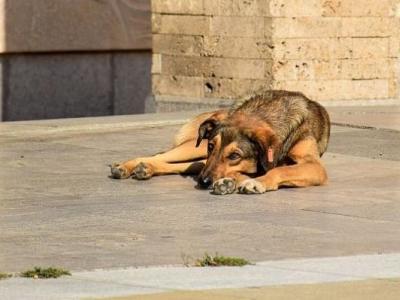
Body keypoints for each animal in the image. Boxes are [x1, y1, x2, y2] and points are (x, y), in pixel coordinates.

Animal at [111, 89, 330, 195]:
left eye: (234, 155)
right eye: (211, 146)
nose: (203, 182)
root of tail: (219, 111)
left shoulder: (314, 166)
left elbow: (280, 170)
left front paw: (251, 182)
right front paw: (237, 181)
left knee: (188, 165)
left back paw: (145, 169)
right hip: (192, 148)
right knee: (160, 155)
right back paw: (127, 166)